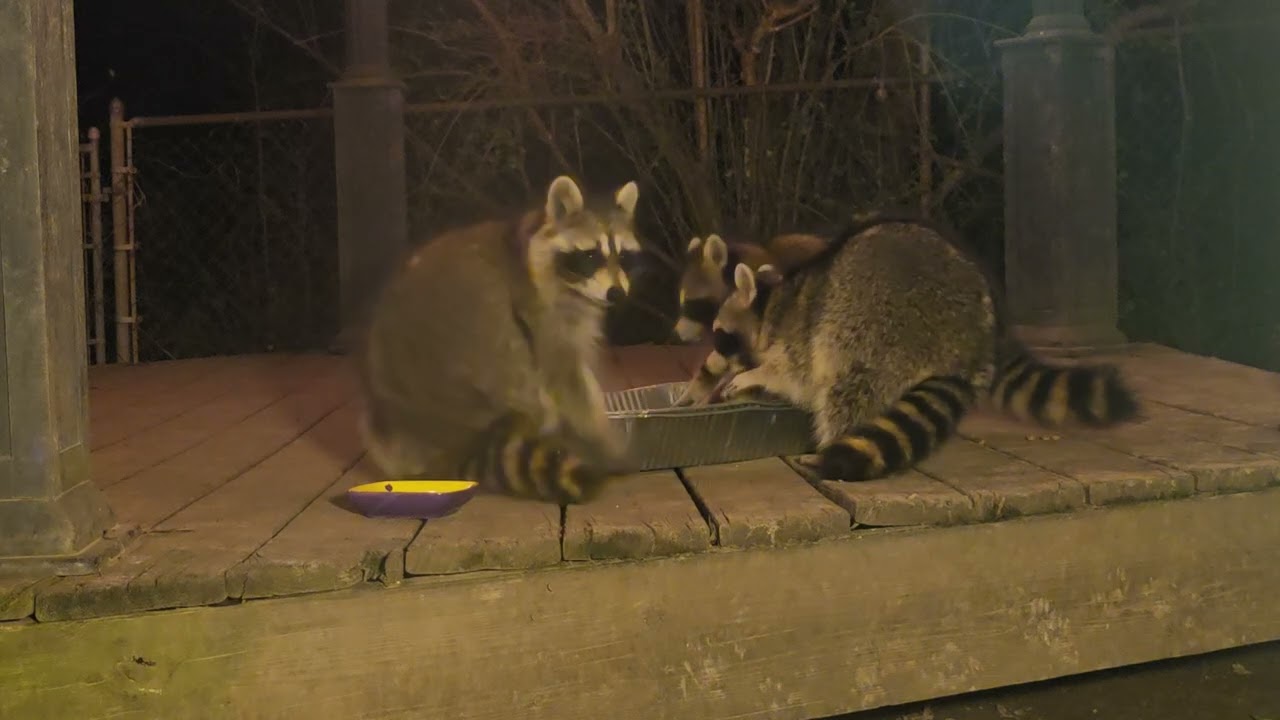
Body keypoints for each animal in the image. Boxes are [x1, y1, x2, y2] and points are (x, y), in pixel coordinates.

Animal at [357, 176, 645, 504]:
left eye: (624, 256)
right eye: (590, 255)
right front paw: (605, 443)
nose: (617, 294)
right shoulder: (541, 313)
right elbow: (568, 380)